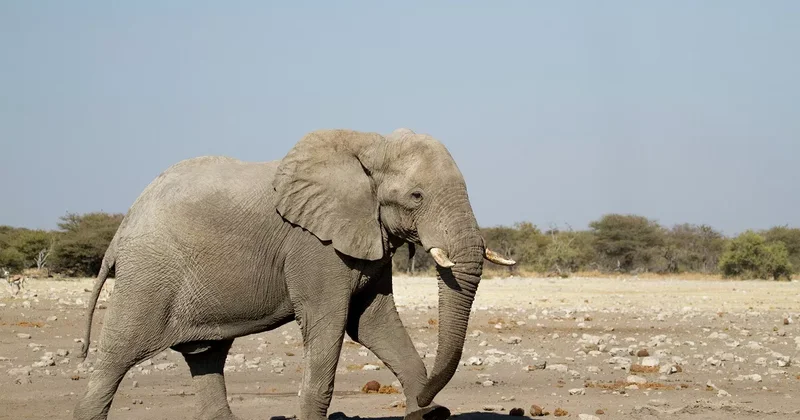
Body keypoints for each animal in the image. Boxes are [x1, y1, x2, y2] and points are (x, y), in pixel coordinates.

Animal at [73, 128, 515, 420]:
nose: (431, 403)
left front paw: (425, 411)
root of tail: (122, 229)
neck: (369, 143)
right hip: (149, 275)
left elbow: (373, 321)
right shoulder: (314, 246)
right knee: (116, 357)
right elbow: (329, 322)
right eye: (416, 196)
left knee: (206, 357)